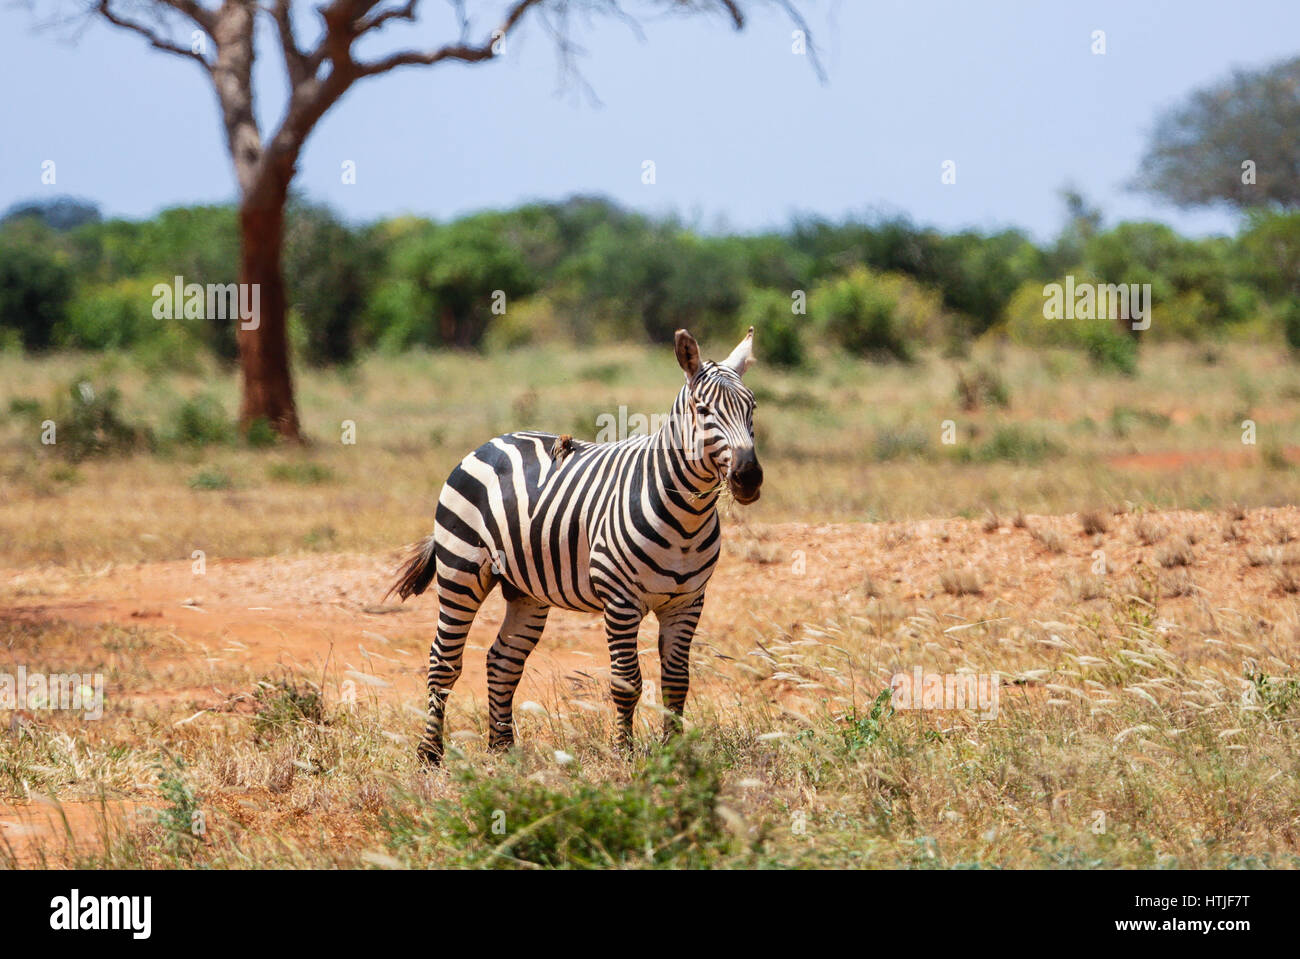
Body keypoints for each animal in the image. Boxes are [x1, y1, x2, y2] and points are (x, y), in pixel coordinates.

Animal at [390, 327, 764, 764]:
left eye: (752, 407)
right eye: (704, 411)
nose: (748, 477)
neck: (686, 517)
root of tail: (492, 442)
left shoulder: (687, 602)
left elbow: (676, 682)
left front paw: (675, 753)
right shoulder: (620, 600)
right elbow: (627, 682)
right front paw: (623, 754)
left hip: (526, 591)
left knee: (503, 661)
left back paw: (502, 751)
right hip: (460, 571)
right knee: (443, 661)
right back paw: (429, 754)